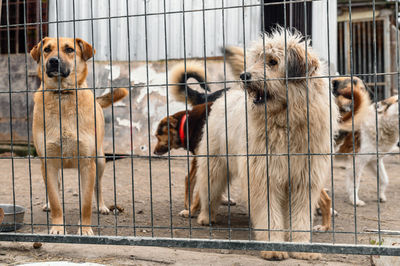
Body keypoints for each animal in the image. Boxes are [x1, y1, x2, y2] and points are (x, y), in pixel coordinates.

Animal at [31, 37, 128, 235]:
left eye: (69, 49)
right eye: (47, 50)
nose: (53, 61)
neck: (62, 95)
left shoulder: (87, 163)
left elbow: (86, 203)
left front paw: (85, 229)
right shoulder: (49, 162)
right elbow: (55, 200)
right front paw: (58, 228)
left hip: (100, 161)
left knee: (98, 186)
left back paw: (102, 206)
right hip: (46, 167)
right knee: (54, 186)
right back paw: (47, 204)